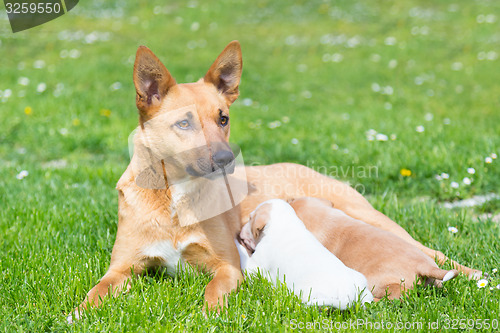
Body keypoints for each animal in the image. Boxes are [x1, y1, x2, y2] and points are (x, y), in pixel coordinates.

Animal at [237, 198, 372, 308]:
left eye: (250, 218)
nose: (240, 232)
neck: (286, 225)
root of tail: (348, 295)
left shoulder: (254, 267)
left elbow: (244, 257)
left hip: (303, 292)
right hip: (362, 285)